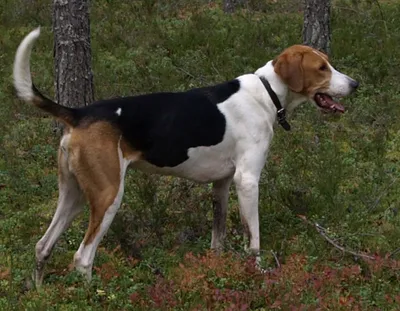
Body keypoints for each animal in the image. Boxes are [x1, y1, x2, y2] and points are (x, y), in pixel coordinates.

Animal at [13, 27, 360, 288]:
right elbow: (254, 239)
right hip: (108, 195)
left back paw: (40, 293)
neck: (266, 93)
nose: (356, 84)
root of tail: (79, 112)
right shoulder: (247, 181)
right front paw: (258, 275)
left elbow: (218, 238)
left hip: (73, 196)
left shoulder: (222, 185)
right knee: (82, 258)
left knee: (42, 246)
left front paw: (219, 272)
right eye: (322, 68)